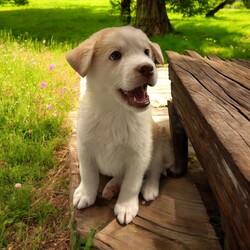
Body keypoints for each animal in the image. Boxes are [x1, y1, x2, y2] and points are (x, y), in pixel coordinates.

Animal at [66, 25, 174, 225]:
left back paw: (148, 188)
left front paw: (126, 206)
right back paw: (112, 186)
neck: (115, 113)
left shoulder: (139, 157)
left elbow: (131, 183)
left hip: (159, 143)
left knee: (155, 169)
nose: (147, 67)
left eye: (146, 52)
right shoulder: (84, 148)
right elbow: (88, 174)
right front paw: (85, 194)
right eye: (115, 55)